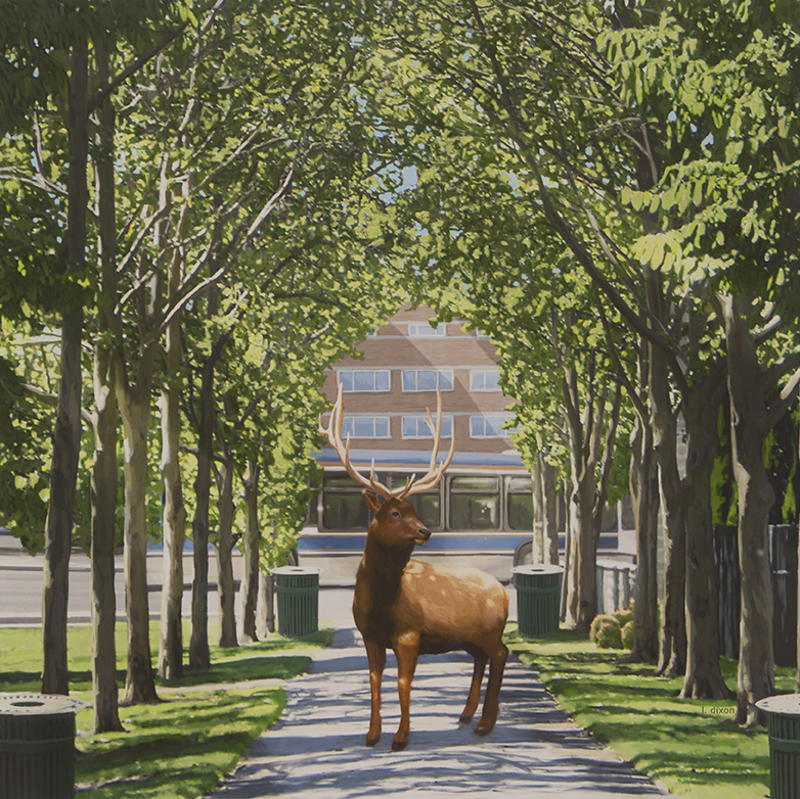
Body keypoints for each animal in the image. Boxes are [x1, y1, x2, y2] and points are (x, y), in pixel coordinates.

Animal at [320, 384, 509, 751]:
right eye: (395, 512)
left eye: (415, 509)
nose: (426, 531)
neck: (382, 604)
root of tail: (503, 591)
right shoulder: (369, 636)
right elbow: (374, 681)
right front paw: (371, 734)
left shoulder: (409, 635)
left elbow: (403, 684)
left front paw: (400, 737)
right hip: (470, 636)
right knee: (481, 658)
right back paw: (467, 714)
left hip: (492, 630)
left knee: (501, 654)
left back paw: (486, 723)